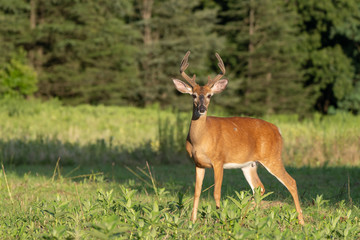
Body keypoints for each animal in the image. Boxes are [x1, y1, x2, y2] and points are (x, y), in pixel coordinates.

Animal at [172, 50, 304, 225]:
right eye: (193, 95)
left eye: (209, 95)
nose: (201, 109)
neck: (200, 140)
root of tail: (278, 130)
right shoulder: (198, 163)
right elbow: (196, 192)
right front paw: (192, 222)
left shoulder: (218, 160)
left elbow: (216, 192)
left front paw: (220, 218)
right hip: (249, 165)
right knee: (259, 188)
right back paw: (244, 217)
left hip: (272, 157)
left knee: (291, 182)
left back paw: (301, 221)